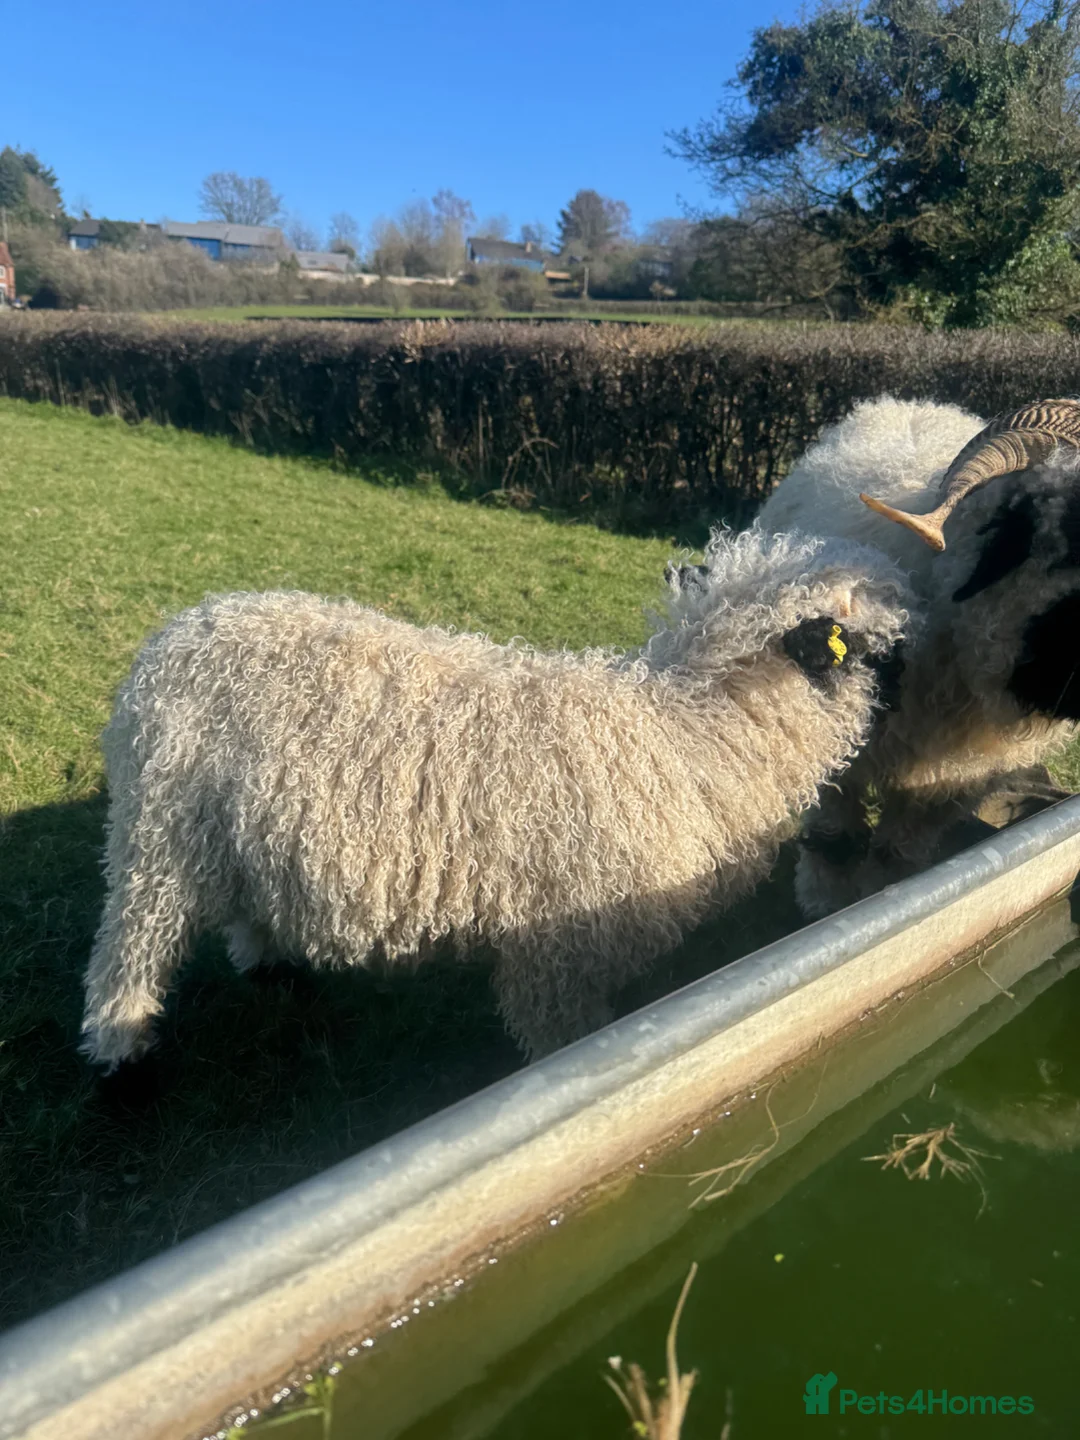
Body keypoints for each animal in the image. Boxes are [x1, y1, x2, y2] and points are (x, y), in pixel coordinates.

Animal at [80, 527, 911, 1069]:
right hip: (156, 838)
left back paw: (268, 960)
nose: (914, 674)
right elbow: (560, 1044)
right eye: (870, 645)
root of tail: (185, 628)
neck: (692, 732)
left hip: (235, 825)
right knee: (132, 947)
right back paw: (120, 1045)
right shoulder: (558, 954)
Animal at [752, 395, 1080, 918]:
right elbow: (835, 839)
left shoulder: (947, 782)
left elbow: (897, 856)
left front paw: (882, 902)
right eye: (1072, 524)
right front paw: (827, 907)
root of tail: (905, 403)